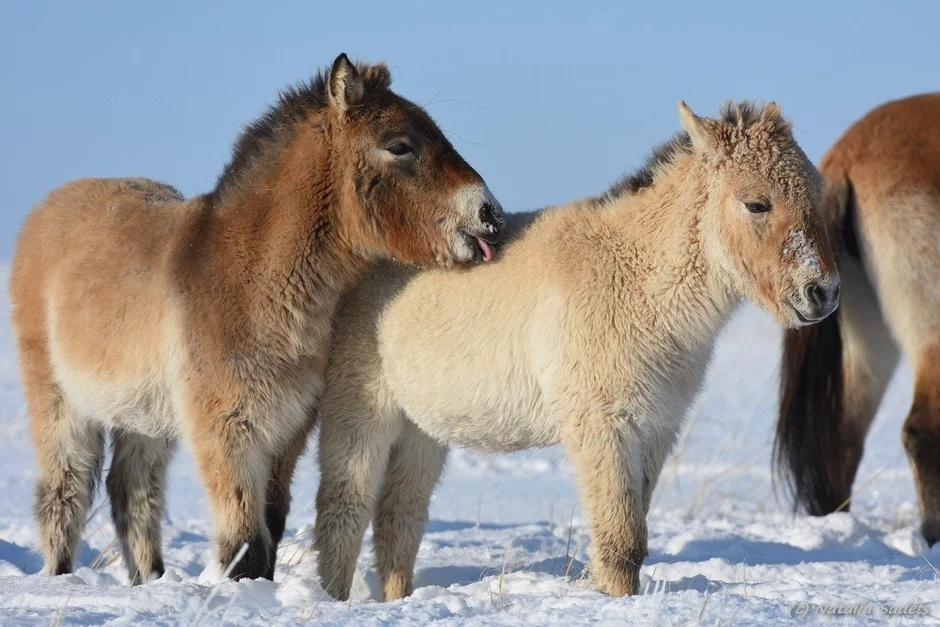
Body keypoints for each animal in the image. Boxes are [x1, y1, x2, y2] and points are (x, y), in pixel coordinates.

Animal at [9, 52, 506, 584]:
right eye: (400, 145)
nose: (490, 214)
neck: (246, 278)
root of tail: (49, 208)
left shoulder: (287, 432)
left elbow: (272, 526)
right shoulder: (229, 434)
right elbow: (245, 541)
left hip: (142, 419)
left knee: (134, 496)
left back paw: (151, 580)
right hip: (60, 404)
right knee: (65, 495)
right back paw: (62, 576)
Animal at [312, 100, 840, 600]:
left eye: (816, 194)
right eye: (756, 204)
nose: (823, 293)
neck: (637, 278)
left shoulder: (656, 431)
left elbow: (633, 537)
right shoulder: (603, 427)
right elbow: (620, 542)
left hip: (421, 432)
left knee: (398, 518)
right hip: (361, 418)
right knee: (343, 511)